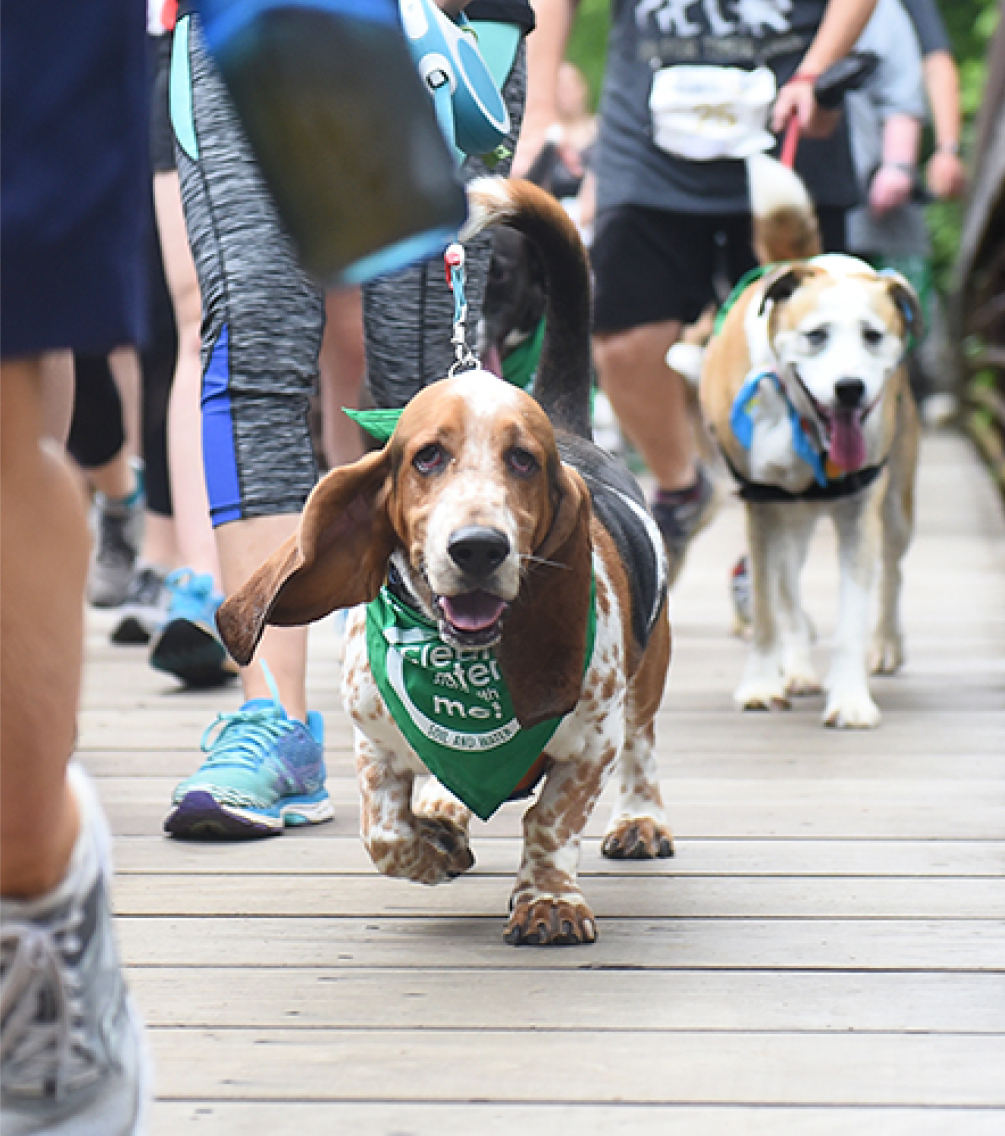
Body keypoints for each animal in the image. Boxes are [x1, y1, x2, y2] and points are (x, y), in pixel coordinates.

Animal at [699, 153, 917, 727]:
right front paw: (760, 684)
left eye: (873, 335)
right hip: (786, 518)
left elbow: (852, 614)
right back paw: (794, 668)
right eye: (816, 336)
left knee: (892, 571)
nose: (849, 389)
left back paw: (886, 644)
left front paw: (851, 698)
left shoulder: (859, 509)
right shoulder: (761, 506)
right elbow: (769, 608)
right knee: (786, 587)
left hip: (897, 505)